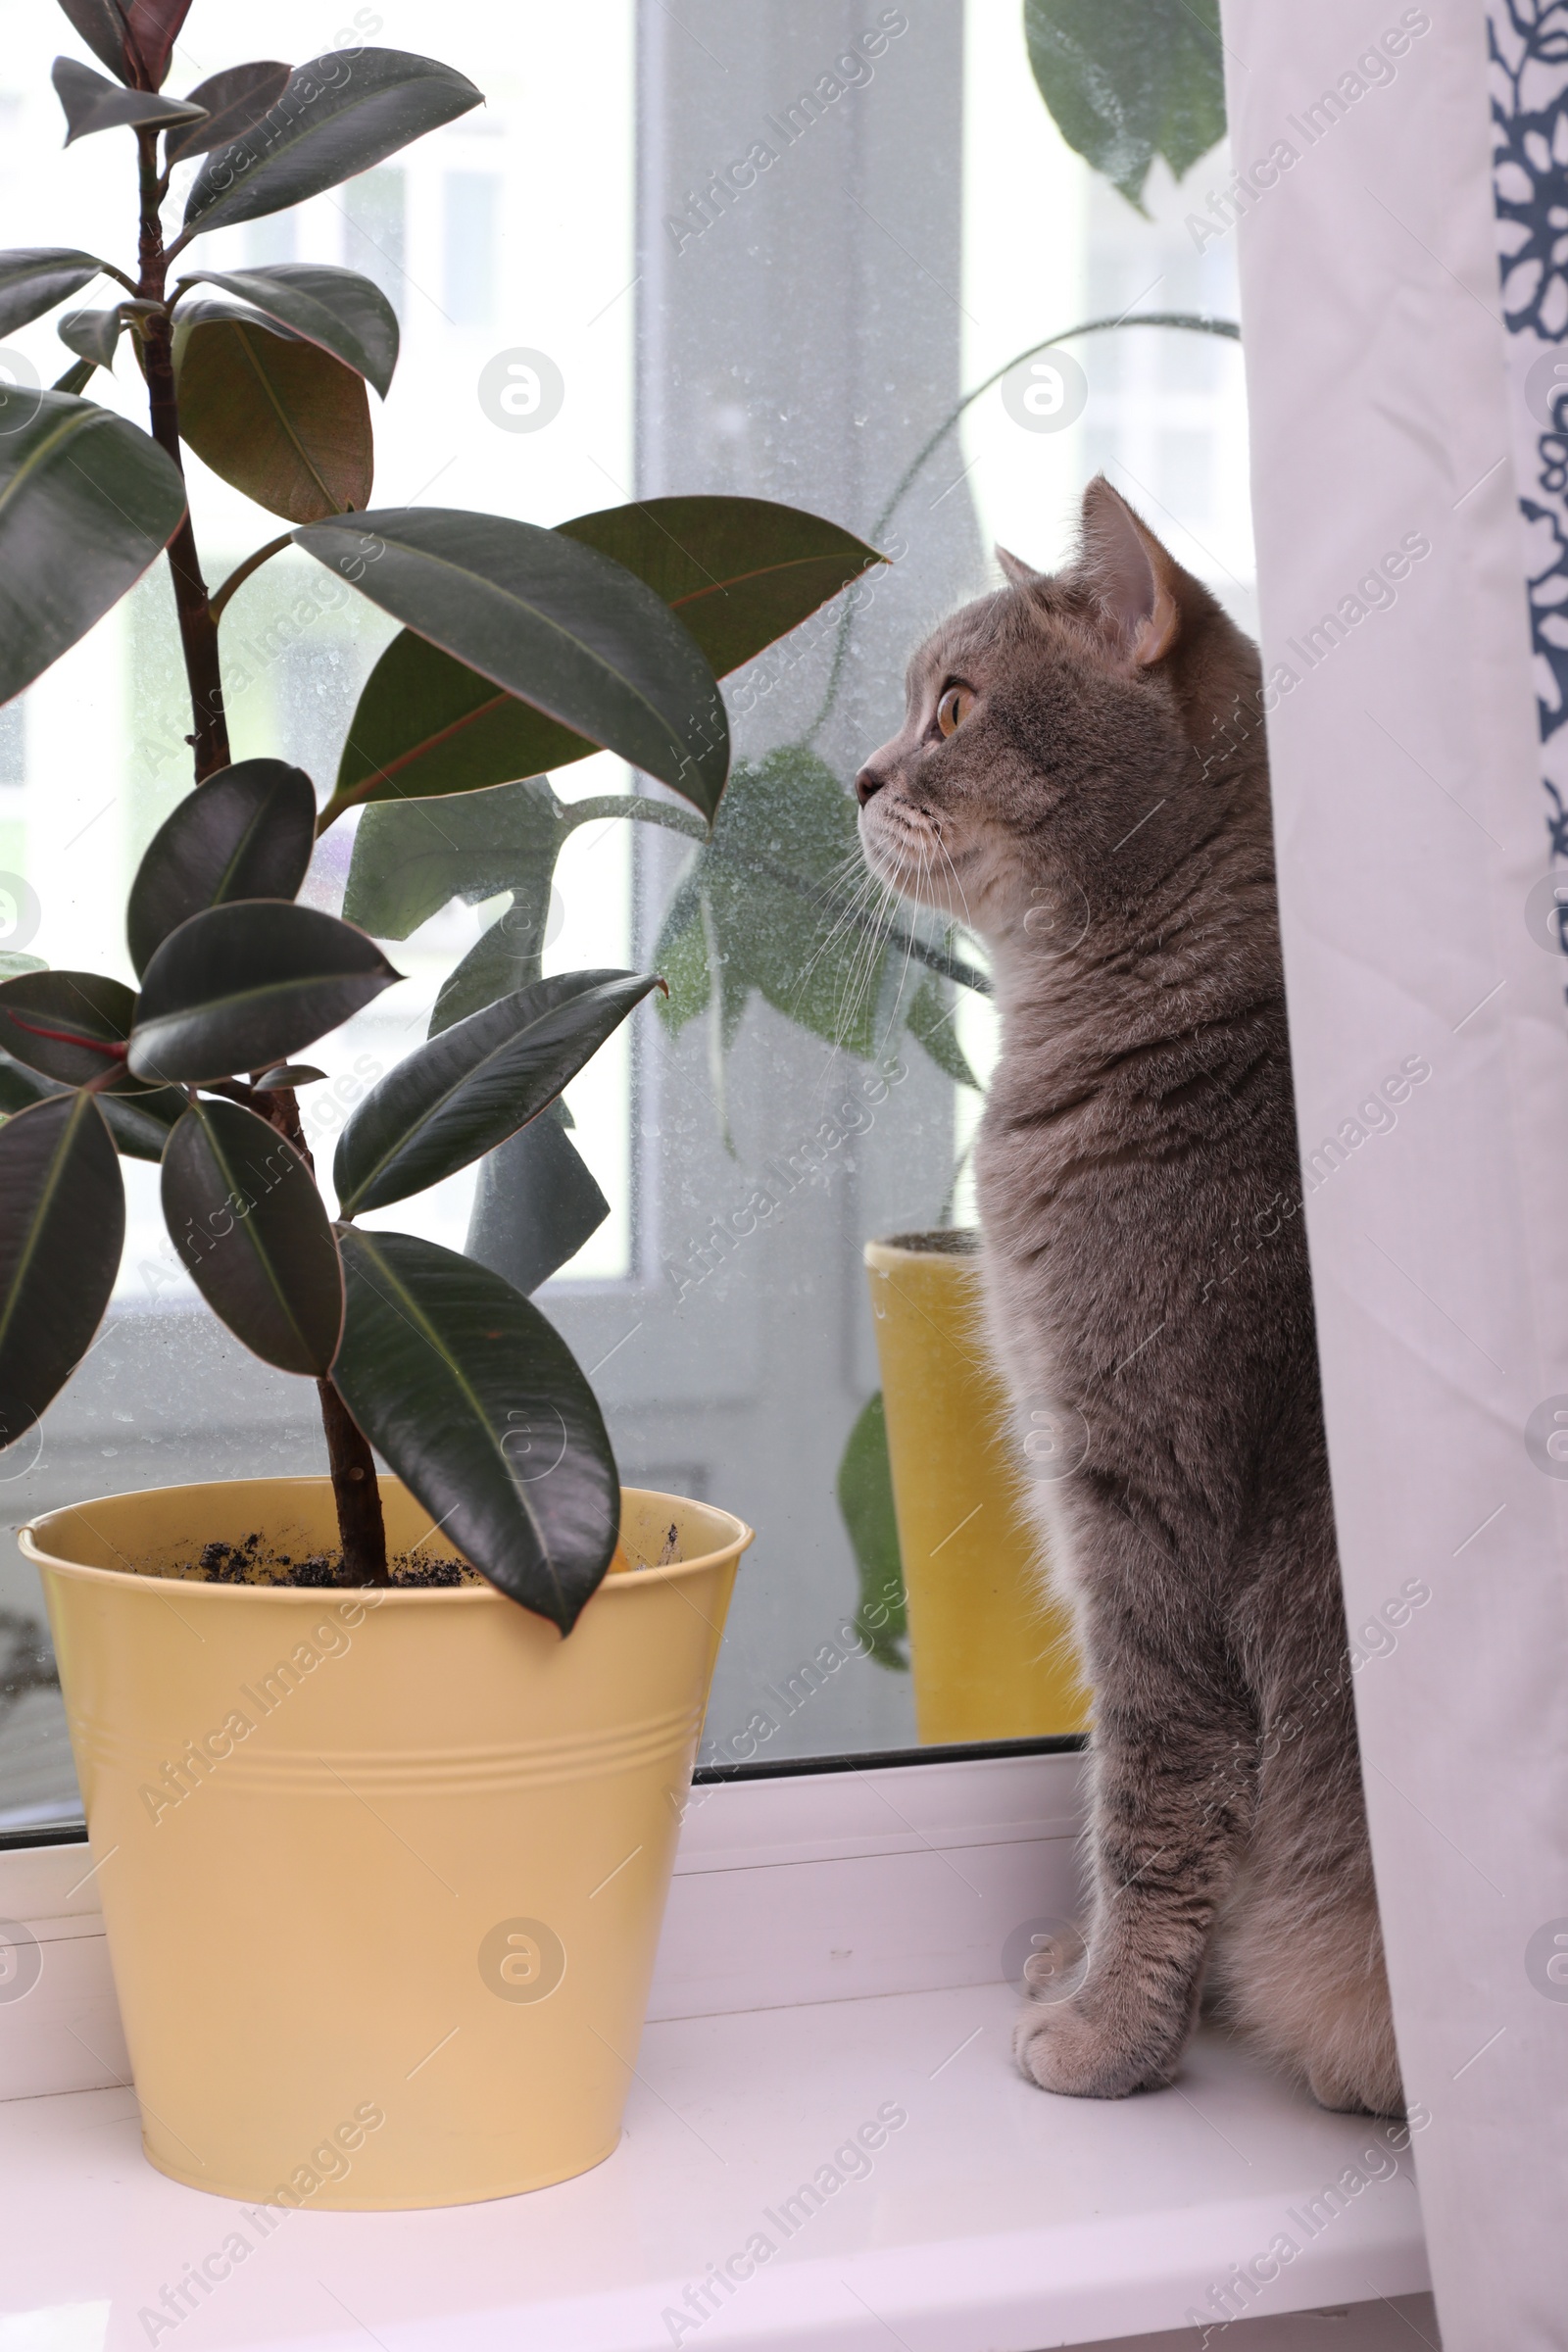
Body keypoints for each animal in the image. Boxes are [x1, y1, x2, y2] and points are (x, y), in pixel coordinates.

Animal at [864, 477, 1400, 2117]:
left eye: (953, 707)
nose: (857, 774)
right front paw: (1094, 1974)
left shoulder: (1143, 1497)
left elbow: (1149, 1793)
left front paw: (1109, 2029)